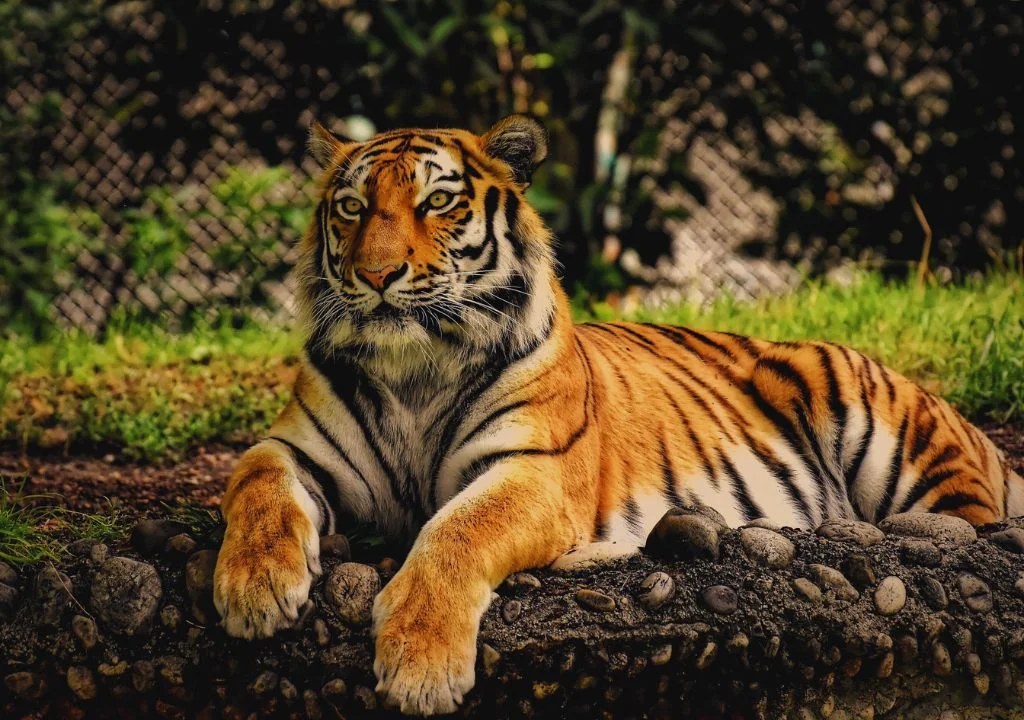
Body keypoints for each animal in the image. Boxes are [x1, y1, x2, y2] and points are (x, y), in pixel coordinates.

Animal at [212, 114, 1024, 716]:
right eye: (351, 208)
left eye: (436, 203)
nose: (376, 275)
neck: (414, 368)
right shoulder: (297, 447)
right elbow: (255, 482)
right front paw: (255, 591)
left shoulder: (532, 471)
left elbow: (455, 532)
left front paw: (418, 664)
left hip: (897, 440)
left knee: (965, 525)